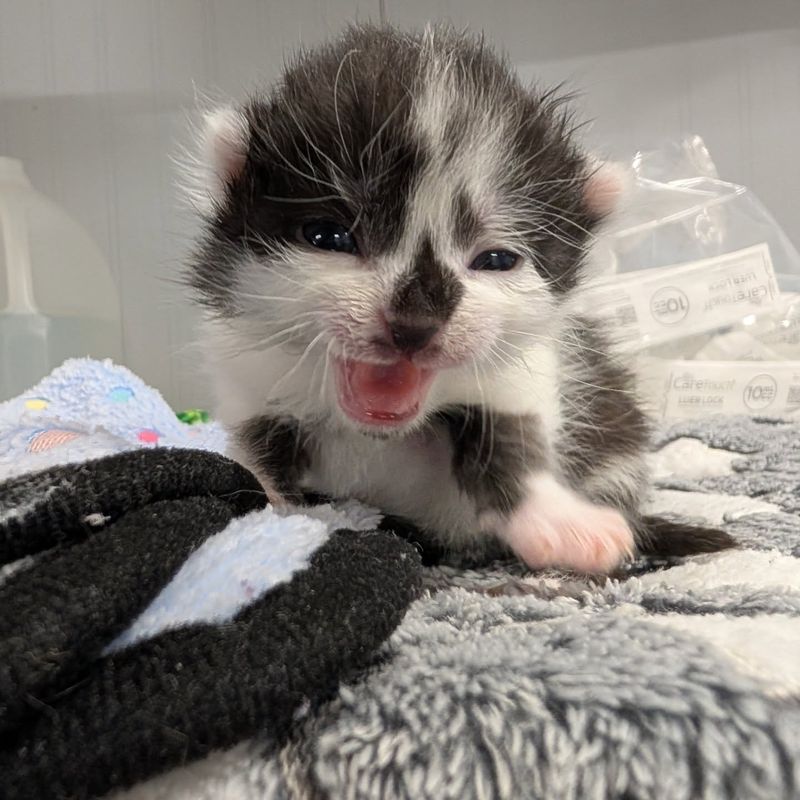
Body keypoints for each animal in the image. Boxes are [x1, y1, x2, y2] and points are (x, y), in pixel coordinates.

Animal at [184, 25, 736, 572]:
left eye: (495, 259)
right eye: (328, 237)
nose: (414, 324)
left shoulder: (515, 377)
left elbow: (511, 442)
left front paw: (560, 522)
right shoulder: (253, 382)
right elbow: (263, 462)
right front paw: (270, 520)